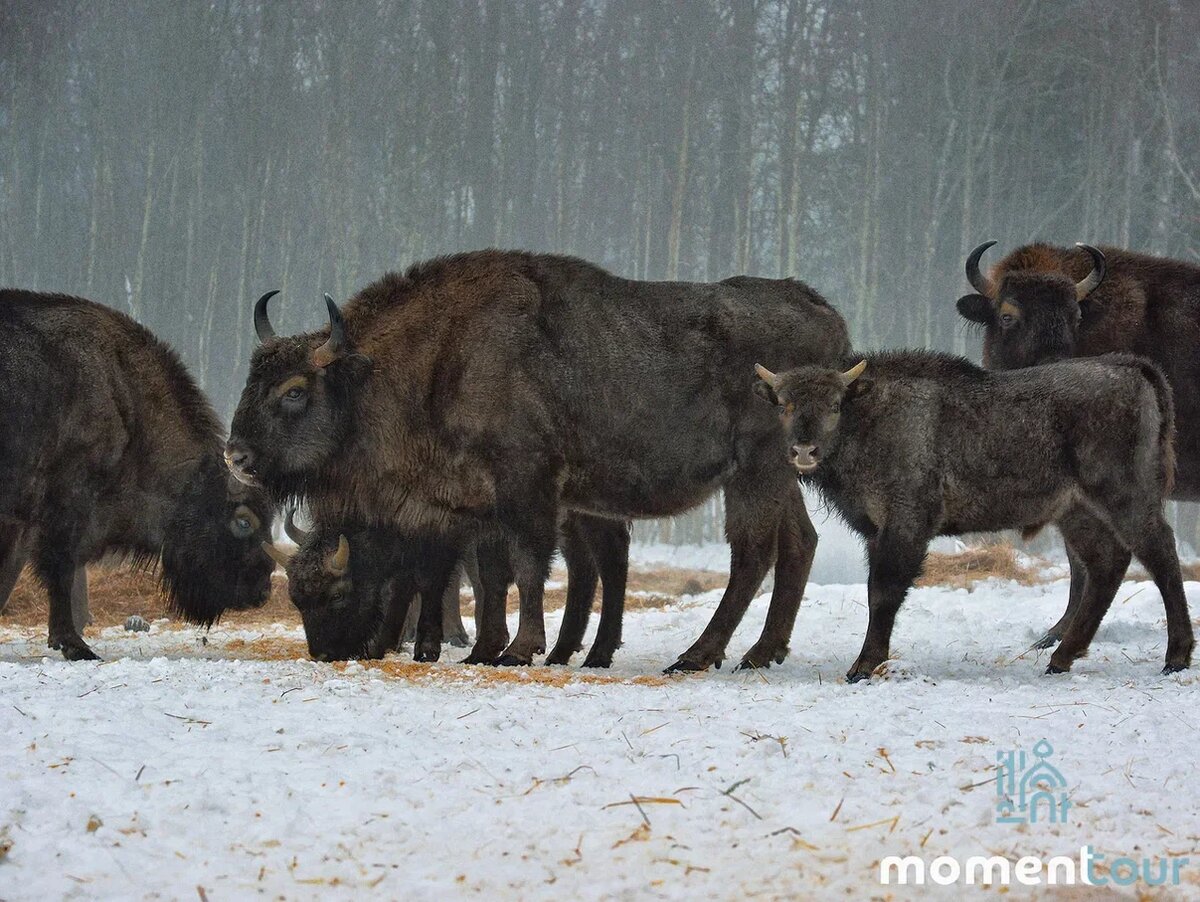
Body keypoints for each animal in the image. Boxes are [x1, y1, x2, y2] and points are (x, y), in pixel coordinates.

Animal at [0, 289, 274, 657]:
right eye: (244, 521)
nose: (262, 590)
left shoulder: (21, 520)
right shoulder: (65, 508)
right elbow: (60, 571)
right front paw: (75, 646)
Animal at [223, 251, 844, 671]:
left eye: (295, 391)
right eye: (255, 377)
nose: (236, 455)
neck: (441, 357)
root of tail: (821, 310)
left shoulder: (526, 486)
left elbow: (526, 566)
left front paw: (519, 649)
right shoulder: (476, 501)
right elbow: (492, 573)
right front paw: (483, 649)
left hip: (756, 470)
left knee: (752, 553)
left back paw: (696, 655)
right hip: (782, 474)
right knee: (799, 541)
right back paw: (763, 652)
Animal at [753, 347, 1195, 681]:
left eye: (833, 405)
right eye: (785, 405)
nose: (804, 450)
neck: (869, 414)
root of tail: (1131, 368)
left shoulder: (905, 525)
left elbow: (883, 593)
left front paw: (863, 666)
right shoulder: (877, 532)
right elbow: (877, 592)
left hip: (1125, 498)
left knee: (1160, 555)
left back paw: (1176, 657)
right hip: (1075, 511)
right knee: (1108, 563)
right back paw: (1061, 659)